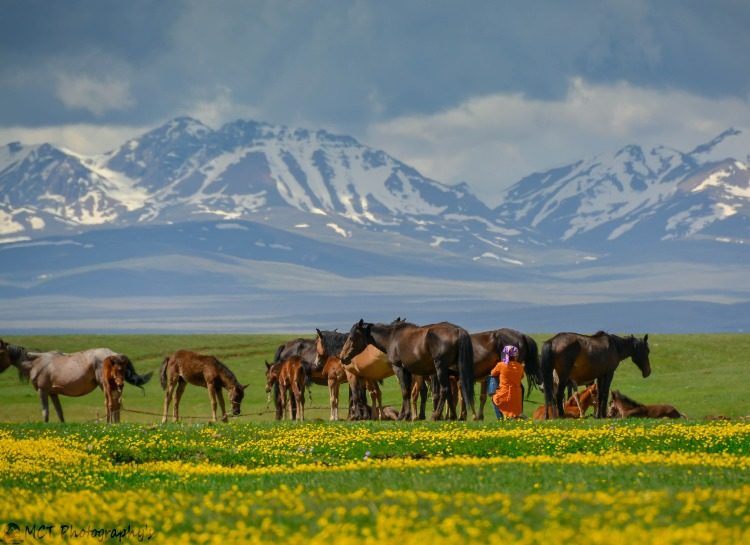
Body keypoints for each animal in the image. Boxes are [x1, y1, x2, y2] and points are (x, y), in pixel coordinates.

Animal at [342, 316, 476, 418]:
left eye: (351, 338)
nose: (343, 357)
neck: (391, 337)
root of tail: (458, 330)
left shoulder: (398, 368)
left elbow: (405, 391)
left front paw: (404, 415)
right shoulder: (407, 371)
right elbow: (407, 390)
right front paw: (406, 415)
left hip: (440, 368)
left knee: (445, 390)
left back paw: (436, 415)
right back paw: (453, 416)